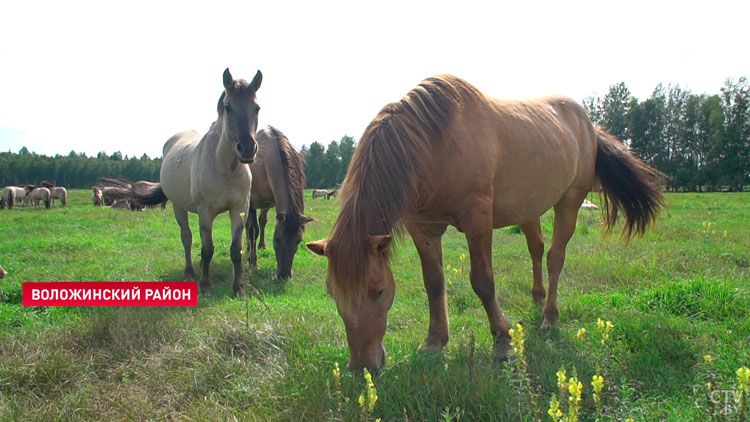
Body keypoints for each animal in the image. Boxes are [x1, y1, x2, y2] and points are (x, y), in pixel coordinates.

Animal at [114, 68, 262, 296]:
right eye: (228, 107)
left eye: (257, 108)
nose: (247, 149)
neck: (226, 168)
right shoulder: (205, 212)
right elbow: (207, 248)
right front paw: (205, 285)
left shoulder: (239, 210)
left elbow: (235, 250)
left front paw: (238, 288)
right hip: (179, 207)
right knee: (187, 238)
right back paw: (190, 272)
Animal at [245, 125, 312, 280]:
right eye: (277, 239)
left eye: (298, 241)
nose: (284, 275)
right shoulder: (251, 203)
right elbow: (252, 231)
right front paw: (253, 262)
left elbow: (261, 224)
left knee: (262, 221)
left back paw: (261, 245)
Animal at [306, 74, 664, 370]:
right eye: (332, 294)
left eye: (378, 292)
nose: (362, 367)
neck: (435, 144)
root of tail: (587, 123)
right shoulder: (423, 228)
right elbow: (433, 283)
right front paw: (434, 342)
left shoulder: (477, 219)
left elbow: (483, 281)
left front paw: (502, 342)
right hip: (530, 208)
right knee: (536, 249)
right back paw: (537, 298)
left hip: (570, 202)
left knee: (555, 257)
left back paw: (549, 317)